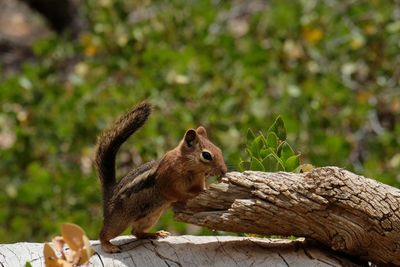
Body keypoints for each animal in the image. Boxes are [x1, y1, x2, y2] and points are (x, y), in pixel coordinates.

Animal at [93, 101, 225, 254]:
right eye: (206, 155)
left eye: (219, 150)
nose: (224, 170)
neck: (190, 168)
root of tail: (110, 195)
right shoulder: (166, 180)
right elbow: (176, 192)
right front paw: (193, 195)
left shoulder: (197, 181)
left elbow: (199, 187)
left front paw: (206, 189)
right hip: (120, 219)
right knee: (105, 234)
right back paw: (109, 246)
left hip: (151, 216)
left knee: (136, 232)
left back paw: (155, 234)